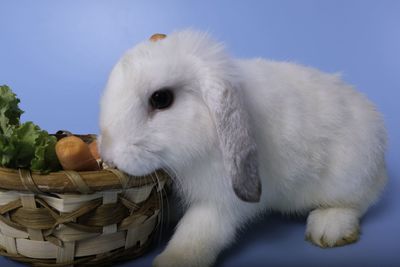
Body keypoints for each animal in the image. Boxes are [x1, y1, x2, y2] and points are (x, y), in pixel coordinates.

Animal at [97, 30, 388, 266]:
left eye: (161, 98)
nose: (108, 152)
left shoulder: (221, 200)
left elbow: (197, 231)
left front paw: (173, 261)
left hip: (348, 176)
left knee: (360, 201)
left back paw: (328, 228)